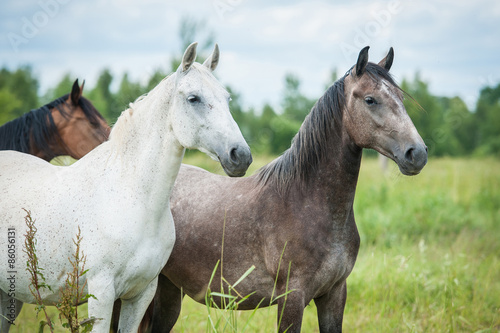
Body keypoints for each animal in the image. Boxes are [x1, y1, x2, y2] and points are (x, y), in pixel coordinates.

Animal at [0, 41, 252, 330]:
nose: (241, 156)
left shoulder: (140, 294)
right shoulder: (101, 294)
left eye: (227, 98)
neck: (133, 198)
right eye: (193, 98)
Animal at [128, 45, 426, 330]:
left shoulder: (334, 294)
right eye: (370, 99)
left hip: (168, 291)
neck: (307, 203)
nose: (417, 153)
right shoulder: (291, 298)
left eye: (400, 98)